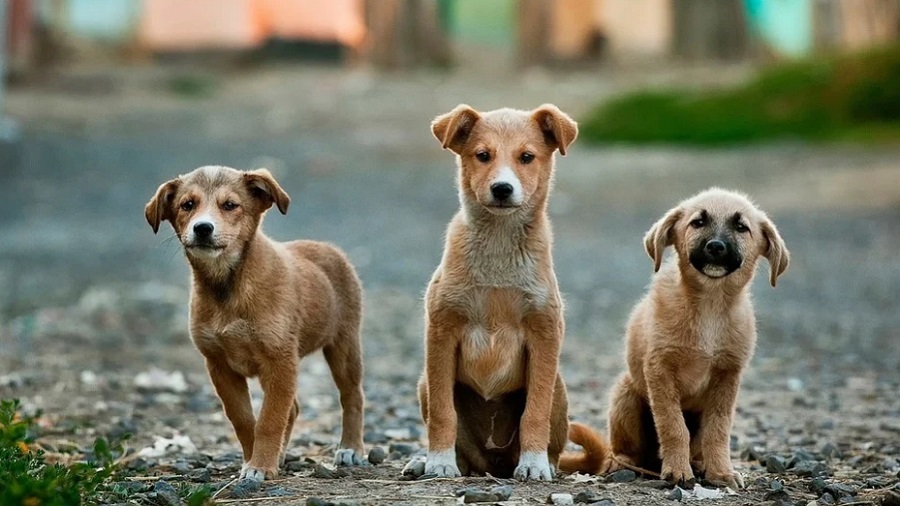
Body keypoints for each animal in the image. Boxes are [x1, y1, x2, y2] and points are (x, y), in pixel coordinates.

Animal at [144, 167, 366, 482]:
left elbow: (270, 419)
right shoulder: (219, 365)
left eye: (230, 205)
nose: (203, 228)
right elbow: (244, 419)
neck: (228, 286)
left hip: (344, 345)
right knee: (293, 408)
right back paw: (282, 455)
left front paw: (260, 465)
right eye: (187, 205)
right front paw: (255, 460)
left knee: (352, 396)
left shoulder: (280, 360)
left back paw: (350, 448)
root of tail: (327, 247)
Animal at [402, 105, 580, 480]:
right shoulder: (441, 331)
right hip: (424, 382)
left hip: (558, 387)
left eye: (527, 157)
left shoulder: (545, 333)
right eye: (482, 155)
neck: (498, 247)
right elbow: (443, 412)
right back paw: (429, 461)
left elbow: (535, 412)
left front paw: (534, 463)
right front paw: (438, 461)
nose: (502, 188)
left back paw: (544, 462)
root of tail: (493, 462)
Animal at [564, 188, 788, 488]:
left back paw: (700, 464)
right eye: (698, 222)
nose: (715, 246)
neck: (709, 305)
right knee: (624, 449)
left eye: (742, 227)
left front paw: (721, 472)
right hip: (626, 395)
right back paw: (622, 463)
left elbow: (718, 430)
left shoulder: (727, 376)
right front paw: (678, 471)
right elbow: (672, 426)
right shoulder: (660, 370)